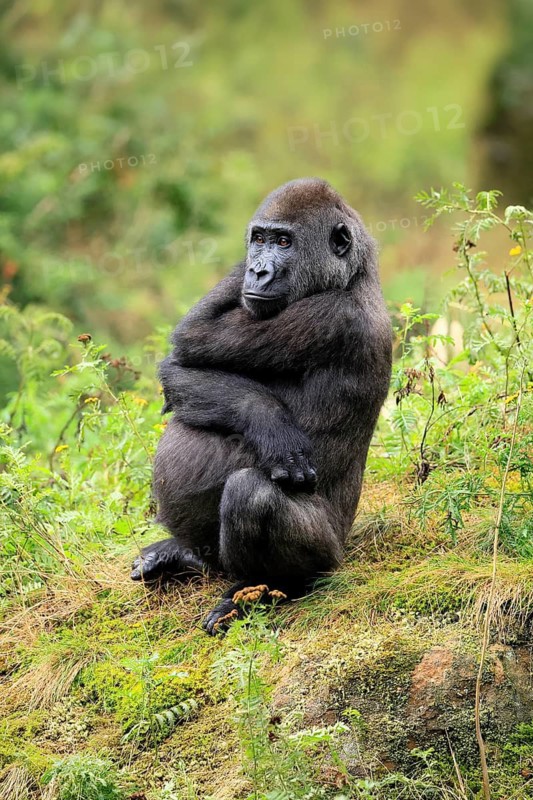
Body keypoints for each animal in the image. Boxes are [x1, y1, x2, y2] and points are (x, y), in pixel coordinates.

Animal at [130, 178, 392, 634]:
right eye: (260, 241)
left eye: (284, 242)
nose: (258, 270)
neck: (353, 275)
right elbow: (182, 359)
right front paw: (270, 424)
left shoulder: (330, 316)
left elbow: (191, 345)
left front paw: (273, 430)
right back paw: (185, 555)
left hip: (330, 555)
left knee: (251, 494)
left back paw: (265, 589)